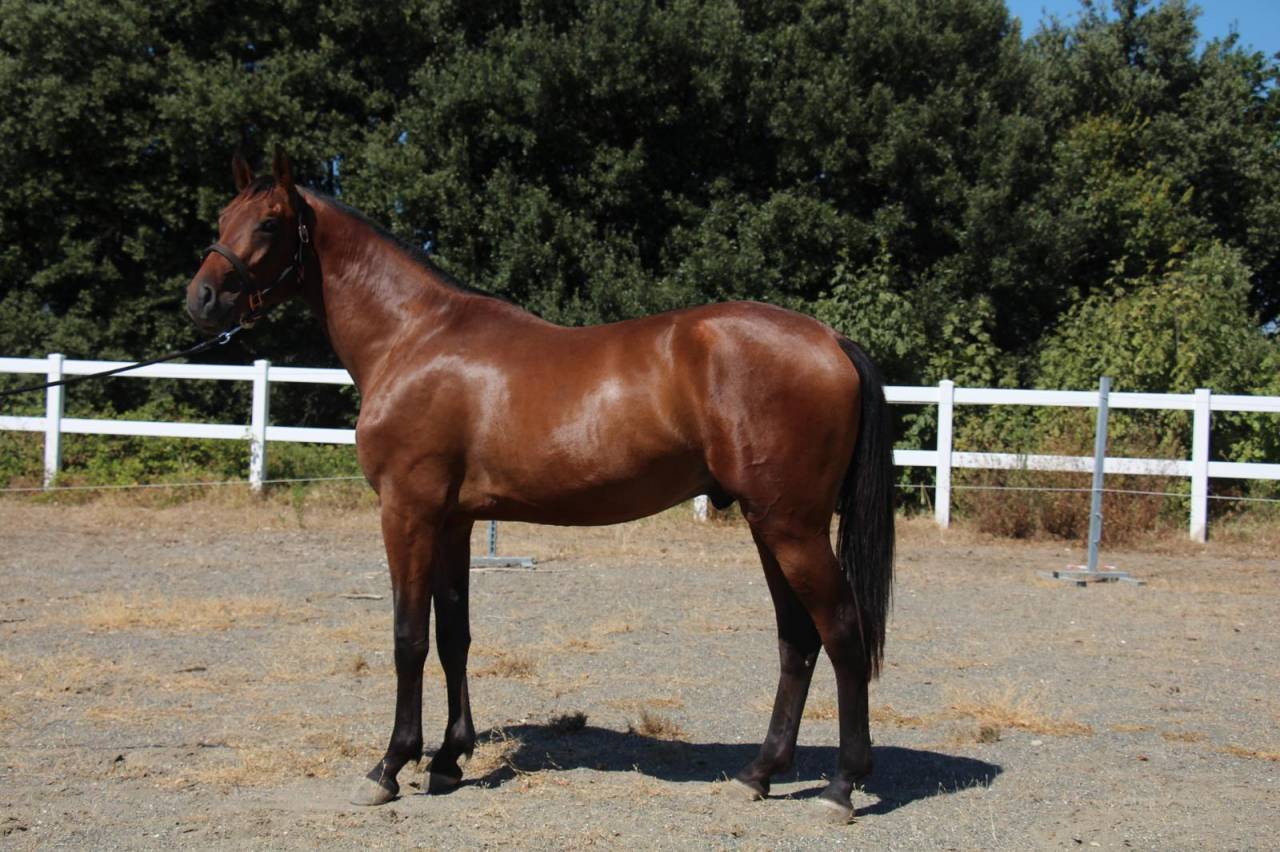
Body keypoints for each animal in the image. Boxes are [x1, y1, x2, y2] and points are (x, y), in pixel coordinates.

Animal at [185, 150, 895, 823]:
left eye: (269, 223)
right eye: (221, 218)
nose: (202, 299)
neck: (412, 337)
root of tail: (831, 339)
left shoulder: (407, 512)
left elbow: (408, 637)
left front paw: (389, 766)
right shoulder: (454, 520)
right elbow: (454, 635)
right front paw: (448, 758)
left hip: (791, 526)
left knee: (841, 631)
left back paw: (842, 786)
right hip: (768, 523)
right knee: (798, 639)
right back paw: (759, 773)